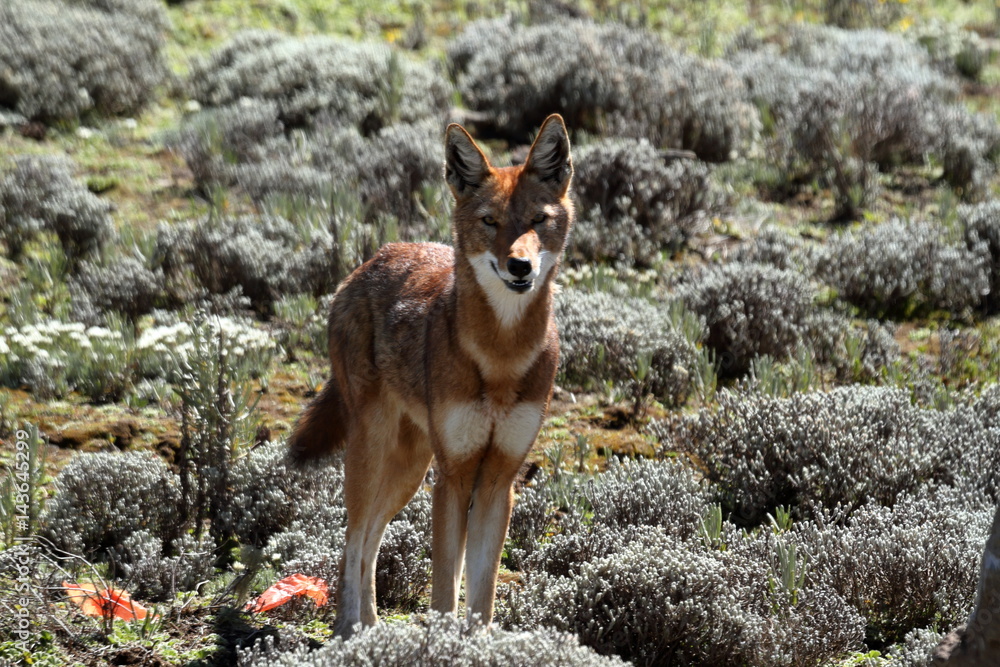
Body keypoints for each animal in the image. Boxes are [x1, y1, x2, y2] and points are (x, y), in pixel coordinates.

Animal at [288, 114, 574, 637]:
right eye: (490, 222)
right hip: (374, 456)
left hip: (409, 470)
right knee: (353, 540)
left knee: (371, 540)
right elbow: (445, 590)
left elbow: (481, 594)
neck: (500, 358)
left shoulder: (498, 482)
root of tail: (371, 260)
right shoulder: (453, 478)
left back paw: (374, 628)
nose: (519, 265)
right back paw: (350, 632)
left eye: (537, 221)